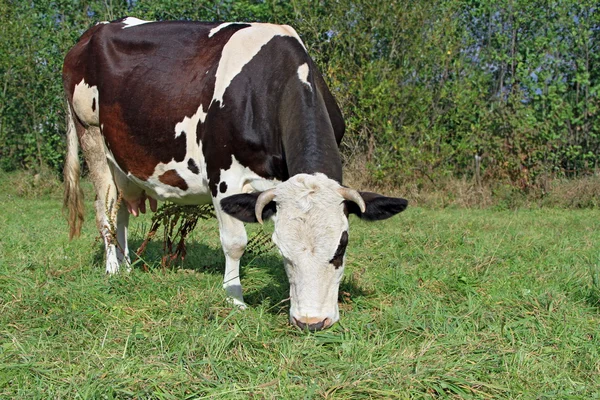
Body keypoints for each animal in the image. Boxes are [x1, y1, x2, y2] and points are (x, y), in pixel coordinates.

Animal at [64, 17, 408, 332]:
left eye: (341, 247)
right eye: (283, 252)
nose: (311, 322)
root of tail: (94, 30)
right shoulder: (223, 175)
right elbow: (235, 242)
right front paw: (234, 298)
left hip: (123, 164)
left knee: (121, 210)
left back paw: (126, 266)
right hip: (91, 137)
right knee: (105, 209)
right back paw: (111, 268)